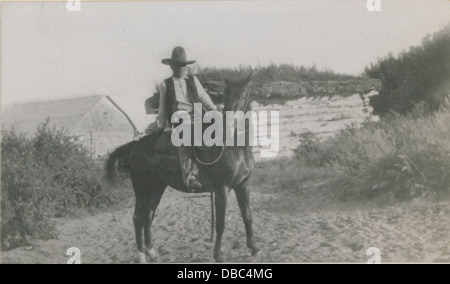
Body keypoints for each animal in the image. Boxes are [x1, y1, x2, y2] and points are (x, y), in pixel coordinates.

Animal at [105, 74, 258, 262]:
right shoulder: (222, 189)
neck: (235, 148)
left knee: (148, 216)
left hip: (156, 188)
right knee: (138, 218)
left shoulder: (242, 186)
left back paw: (152, 252)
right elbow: (221, 223)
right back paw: (141, 255)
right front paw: (218, 254)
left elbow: (247, 216)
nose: (227, 125)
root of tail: (135, 145)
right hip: (142, 188)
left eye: (242, 96)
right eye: (226, 96)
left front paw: (253, 247)